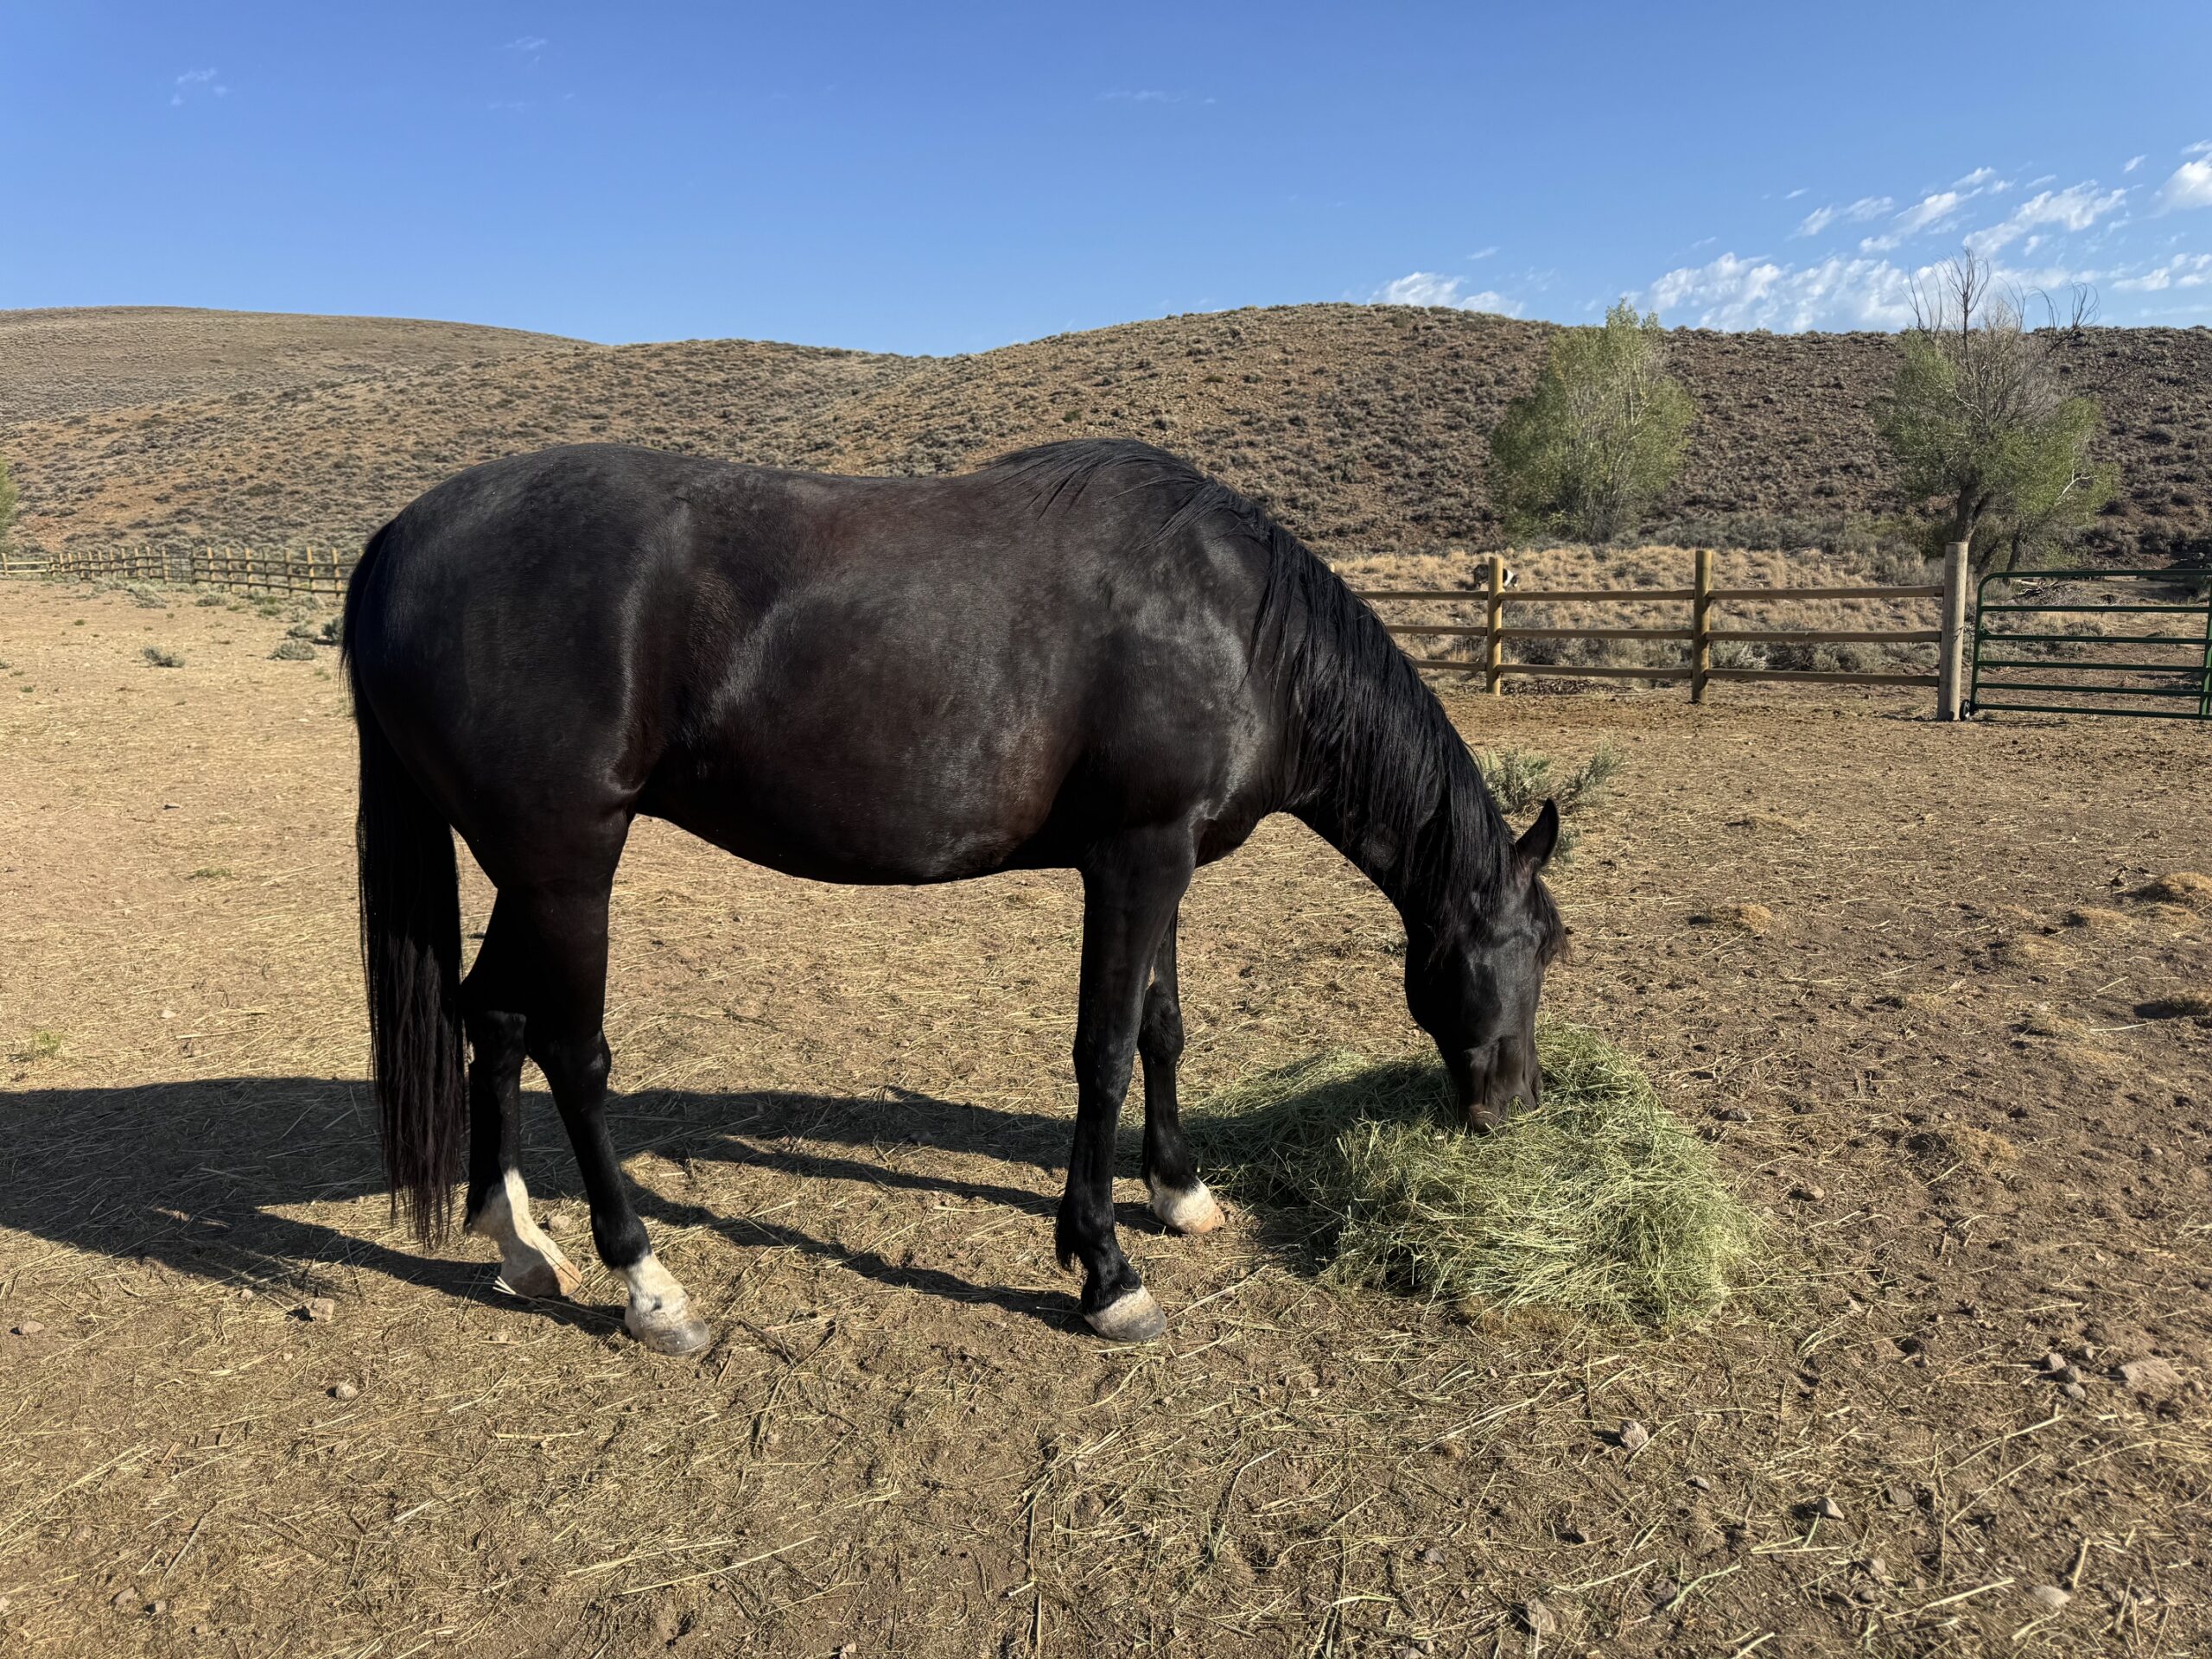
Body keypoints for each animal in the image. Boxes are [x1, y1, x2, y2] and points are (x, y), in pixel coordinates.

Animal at [343, 438, 1563, 1353]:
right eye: (1539, 946)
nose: (1515, 1105)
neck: (1230, 619)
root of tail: (398, 538)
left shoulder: (1164, 863)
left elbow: (1162, 1030)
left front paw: (1179, 1194)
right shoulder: (1134, 860)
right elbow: (1103, 1053)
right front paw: (1106, 1271)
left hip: (528, 869)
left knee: (494, 1016)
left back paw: (519, 1244)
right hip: (568, 865)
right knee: (572, 1052)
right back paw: (650, 1288)